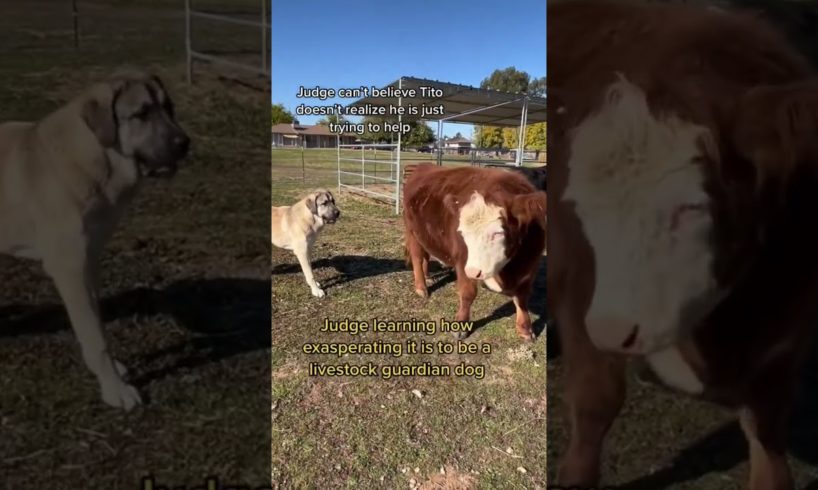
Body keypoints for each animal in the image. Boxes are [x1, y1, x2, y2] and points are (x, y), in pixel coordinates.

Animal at [0, 70, 190, 410]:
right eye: (142, 113)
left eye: (170, 109)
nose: (185, 144)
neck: (96, 156)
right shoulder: (70, 268)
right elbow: (94, 336)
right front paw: (114, 389)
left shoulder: (90, 260)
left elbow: (98, 324)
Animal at [400, 165, 540, 340]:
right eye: (462, 232)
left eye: (498, 233)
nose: (474, 270)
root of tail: (422, 166)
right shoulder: (463, 261)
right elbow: (468, 293)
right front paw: (461, 325)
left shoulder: (529, 266)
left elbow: (522, 297)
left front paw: (525, 329)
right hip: (412, 232)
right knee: (417, 258)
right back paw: (421, 287)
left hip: (425, 235)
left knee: (426, 255)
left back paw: (428, 277)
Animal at [548, 1, 818, 488]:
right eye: (580, 204)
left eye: (692, 206)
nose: (613, 329)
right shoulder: (575, 283)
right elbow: (596, 400)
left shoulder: (790, 325)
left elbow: (767, 431)